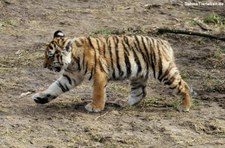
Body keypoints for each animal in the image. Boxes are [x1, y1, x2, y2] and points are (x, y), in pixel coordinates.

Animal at [32, 30, 192, 112]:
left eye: (50, 56)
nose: (44, 66)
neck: (72, 62)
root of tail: (164, 42)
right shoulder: (70, 77)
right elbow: (55, 87)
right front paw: (40, 98)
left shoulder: (98, 74)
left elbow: (98, 92)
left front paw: (95, 107)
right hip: (138, 75)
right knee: (140, 92)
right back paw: (125, 103)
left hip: (164, 71)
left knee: (183, 86)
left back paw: (184, 106)